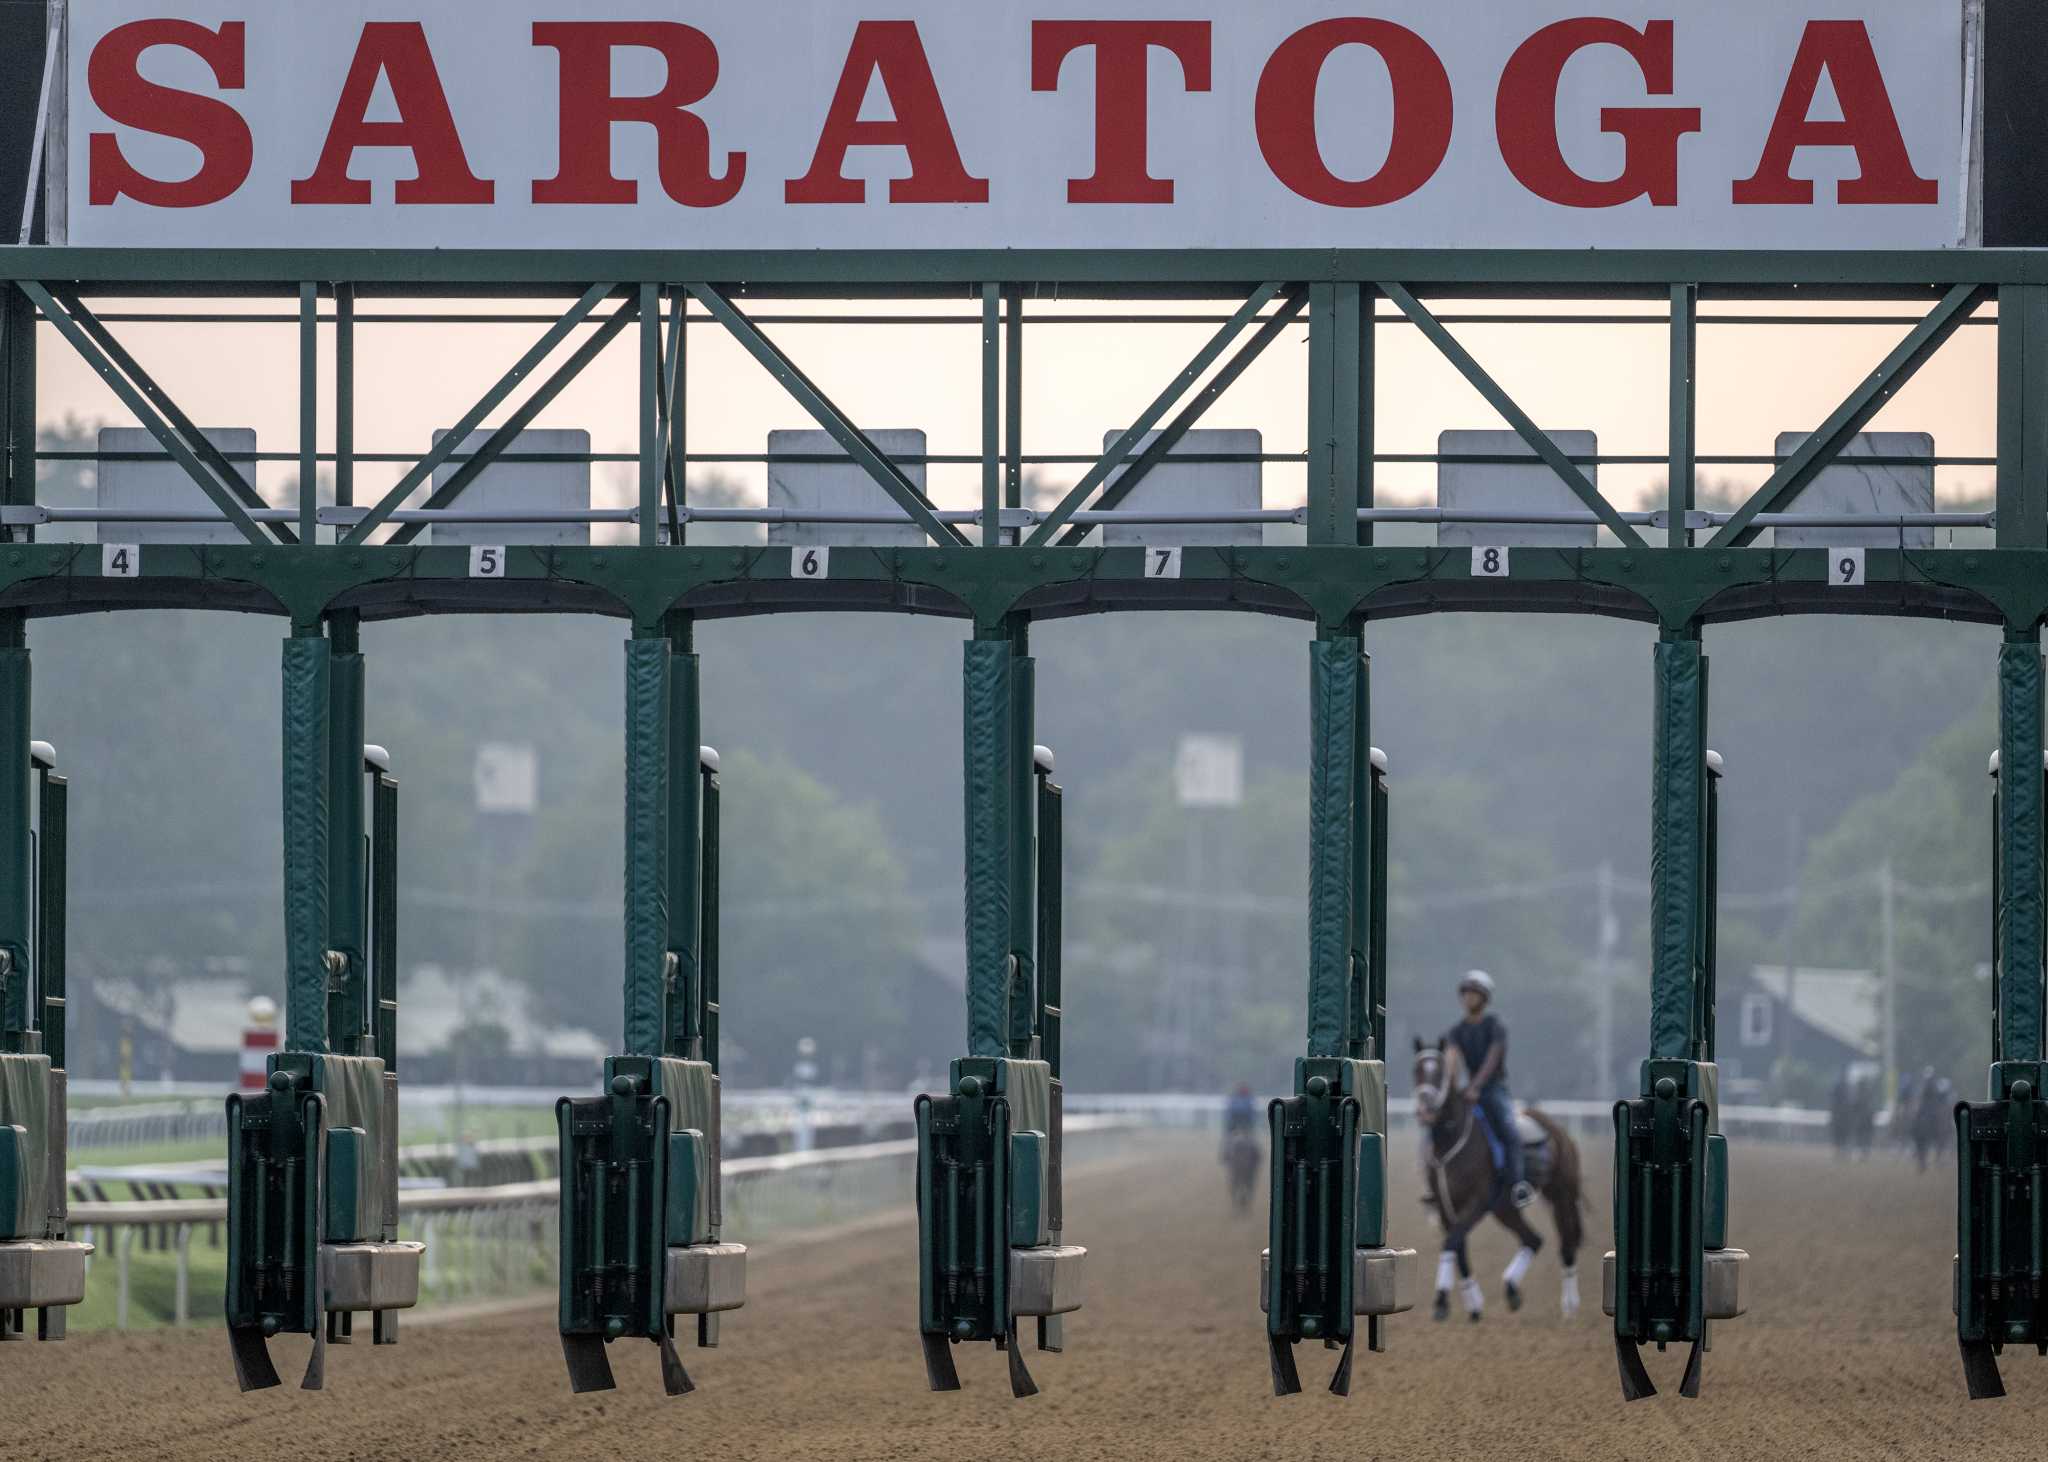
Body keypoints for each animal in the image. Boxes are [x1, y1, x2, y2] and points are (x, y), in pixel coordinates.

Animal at [1409, 1036, 1581, 1318]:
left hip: (1561, 1196)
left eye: (1441, 1071)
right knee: (1533, 1239)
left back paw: (1569, 1306)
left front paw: (1442, 1299)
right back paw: (1511, 1288)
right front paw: (1471, 1304)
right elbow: (1457, 1246)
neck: (1451, 1141)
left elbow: (1452, 1241)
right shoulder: (1446, 1206)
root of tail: (1558, 1131)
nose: (1426, 1109)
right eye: (1417, 1070)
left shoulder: (1477, 1203)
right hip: (1505, 1208)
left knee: (1566, 1244)